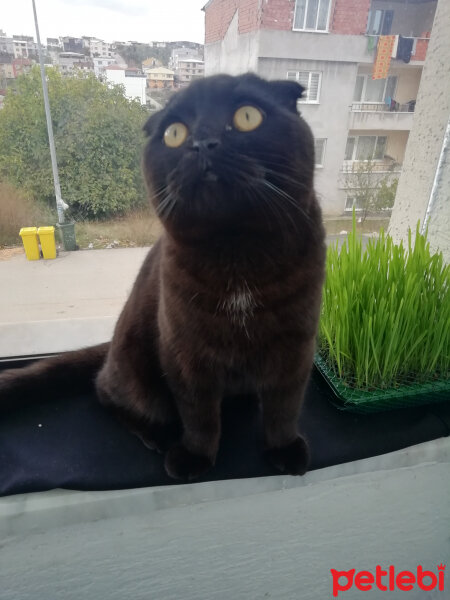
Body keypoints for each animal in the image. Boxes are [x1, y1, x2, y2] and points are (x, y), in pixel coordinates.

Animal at [0, 72, 324, 480]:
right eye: (174, 133)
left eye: (248, 116)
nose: (202, 143)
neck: (237, 255)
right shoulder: (185, 350)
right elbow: (199, 414)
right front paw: (193, 458)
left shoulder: (296, 345)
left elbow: (284, 406)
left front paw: (285, 450)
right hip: (137, 372)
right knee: (105, 392)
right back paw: (157, 435)